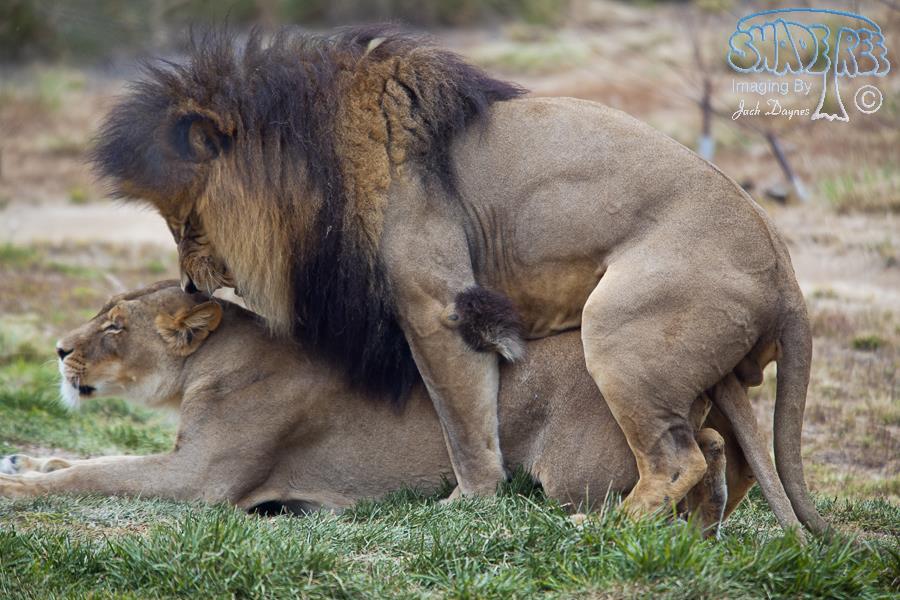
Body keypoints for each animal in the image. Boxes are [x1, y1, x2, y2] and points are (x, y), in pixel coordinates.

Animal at [1, 283, 764, 536]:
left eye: (113, 328)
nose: (58, 351)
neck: (205, 367)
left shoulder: (201, 483)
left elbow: (98, 473)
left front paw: (17, 488)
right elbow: (95, 456)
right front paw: (27, 461)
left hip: (576, 470)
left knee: (680, 458)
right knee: (710, 447)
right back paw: (710, 521)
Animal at [89, 27, 824, 535]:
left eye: (186, 222)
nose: (190, 287)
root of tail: (786, 271)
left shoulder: (438, 305)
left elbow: (464, 420)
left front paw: (467, 501)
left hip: (620, 333)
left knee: (677, 458)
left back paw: (601, 529)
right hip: (702, 370)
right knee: (732, 458)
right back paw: (697, 531)